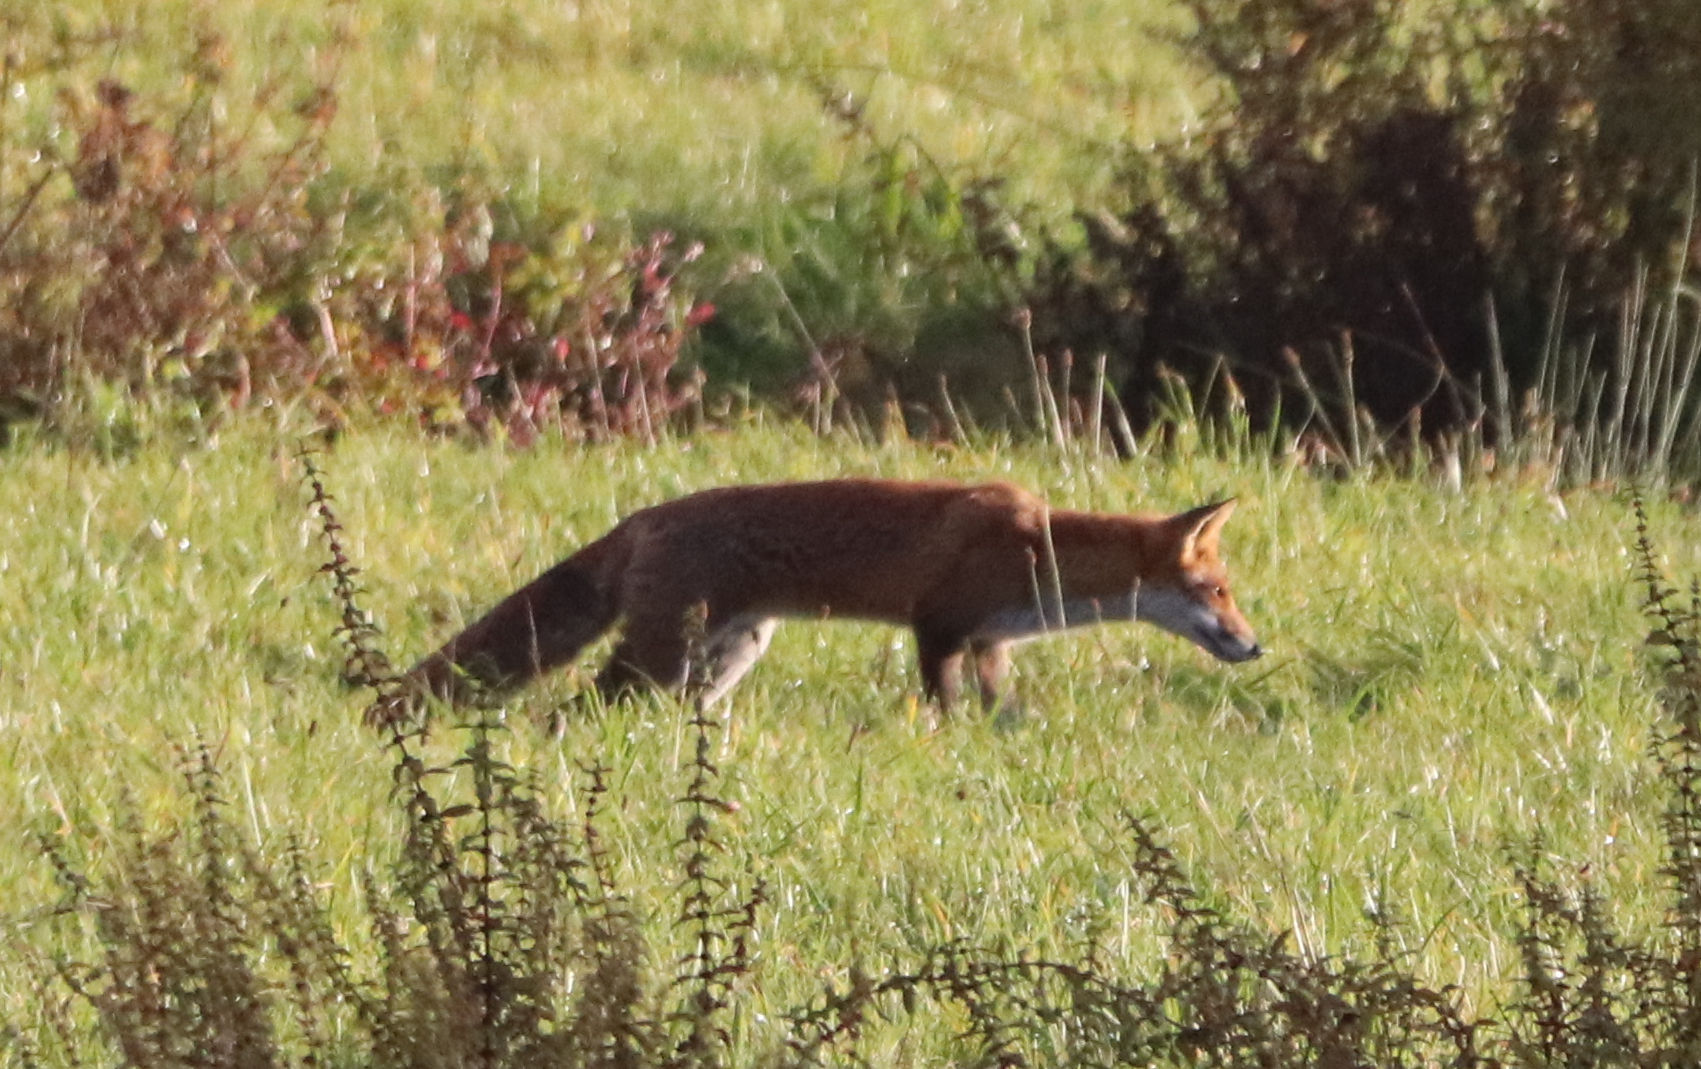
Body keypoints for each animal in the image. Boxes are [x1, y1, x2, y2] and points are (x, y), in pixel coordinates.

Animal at [386, 478, 1261, 720]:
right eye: (1217, 591)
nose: (1255, 646)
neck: (1035, 551)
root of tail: (644, 514)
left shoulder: (989, 642)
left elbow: (997, 707)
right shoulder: (937, 626)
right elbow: (943, 709)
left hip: (728, 654)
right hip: (662, 652)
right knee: (576, 704)